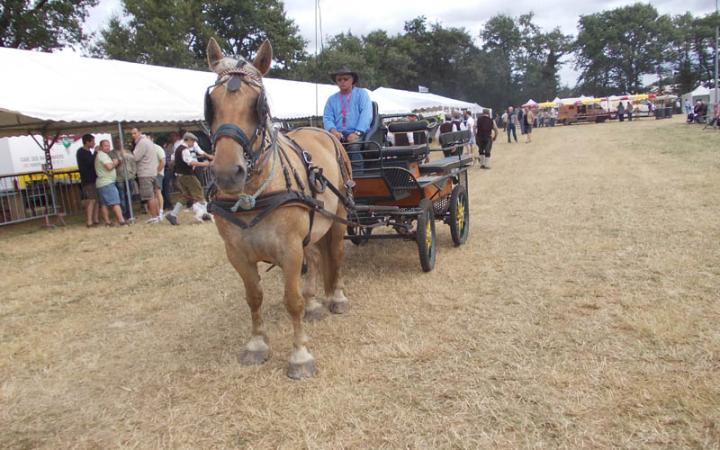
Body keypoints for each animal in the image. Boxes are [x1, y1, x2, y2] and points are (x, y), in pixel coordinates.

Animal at [204, 37, 352, 378]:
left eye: (258, 105)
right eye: (212, 103)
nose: (227, 173)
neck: (253, 194)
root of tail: (322, 131)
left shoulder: (289, 248)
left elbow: (291, 300)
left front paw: (300, 355)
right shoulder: (237, 253)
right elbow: (254, 296)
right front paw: (257, 344)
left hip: (338, 217)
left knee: (336, 254)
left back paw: (336, 297)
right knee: (316, 257)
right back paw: (314, 304)